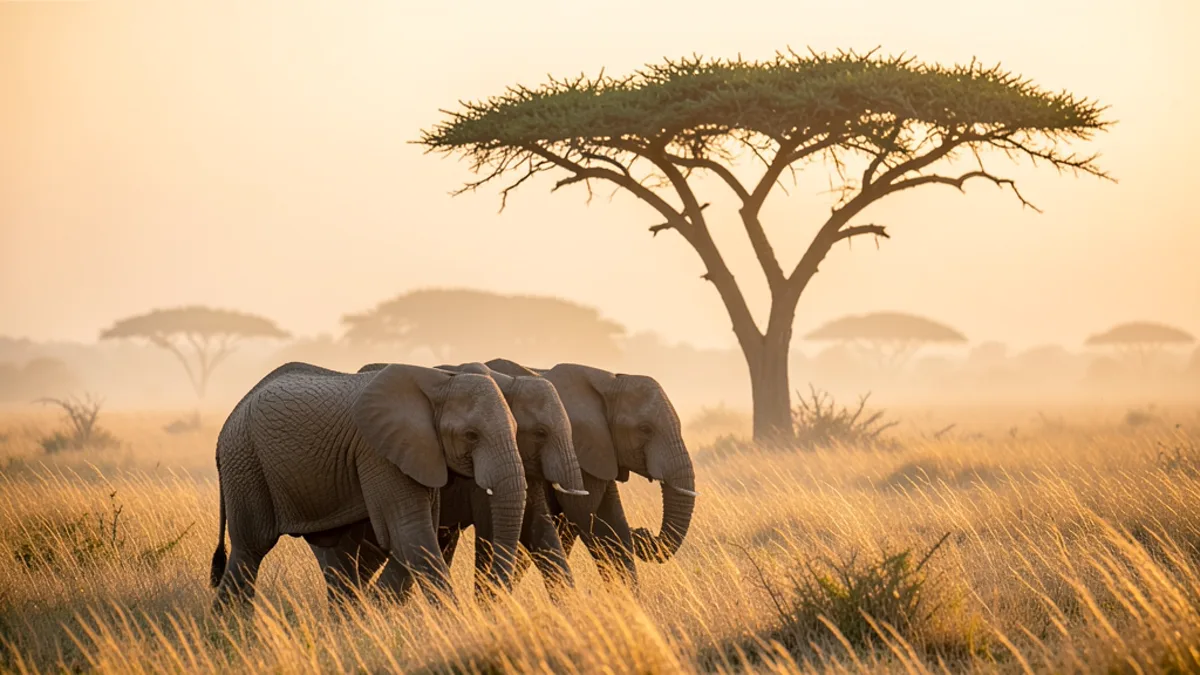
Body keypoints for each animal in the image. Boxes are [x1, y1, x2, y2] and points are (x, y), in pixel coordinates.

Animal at [207, 360, 526, 611]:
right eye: (471, 435)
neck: (439, 384)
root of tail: (225, 426)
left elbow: (419, 533)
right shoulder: (379, 453)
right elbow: (411, 533)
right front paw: (453, 623)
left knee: (337, 553)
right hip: (245, 461)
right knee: (251, 549)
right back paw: (230, 631)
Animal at [484, 359, 697, 589]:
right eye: (645, 429)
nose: (643, 532)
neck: (608, 382)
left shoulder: (600, 452)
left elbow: (613, 523)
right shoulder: (578, 449)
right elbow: (589, 519)